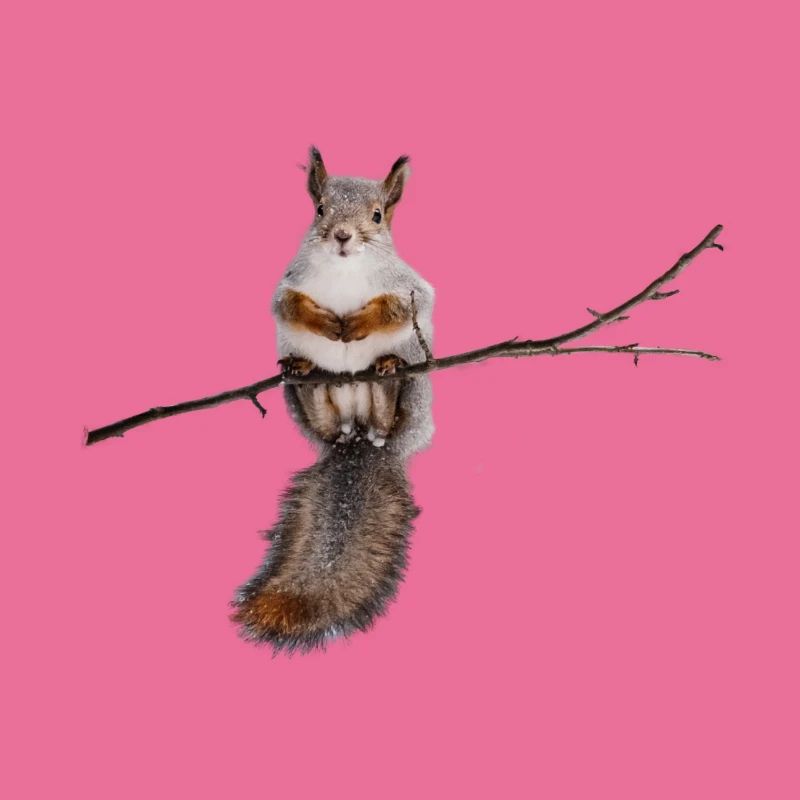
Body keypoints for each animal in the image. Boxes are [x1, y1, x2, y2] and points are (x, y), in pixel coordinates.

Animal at [230, 147, 435, 652]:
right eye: (319, 209)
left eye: (378, 216)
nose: (343, 236)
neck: (345, 270)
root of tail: (358, 437)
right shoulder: (287, 285)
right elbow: (288, 305)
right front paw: (325, 323)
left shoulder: (412, 288)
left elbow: (403, 306)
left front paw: (357, 324)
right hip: (304, 404)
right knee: (321, 409)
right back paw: (307, 374)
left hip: (414, 397)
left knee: (388, 411)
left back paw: (386, 374)